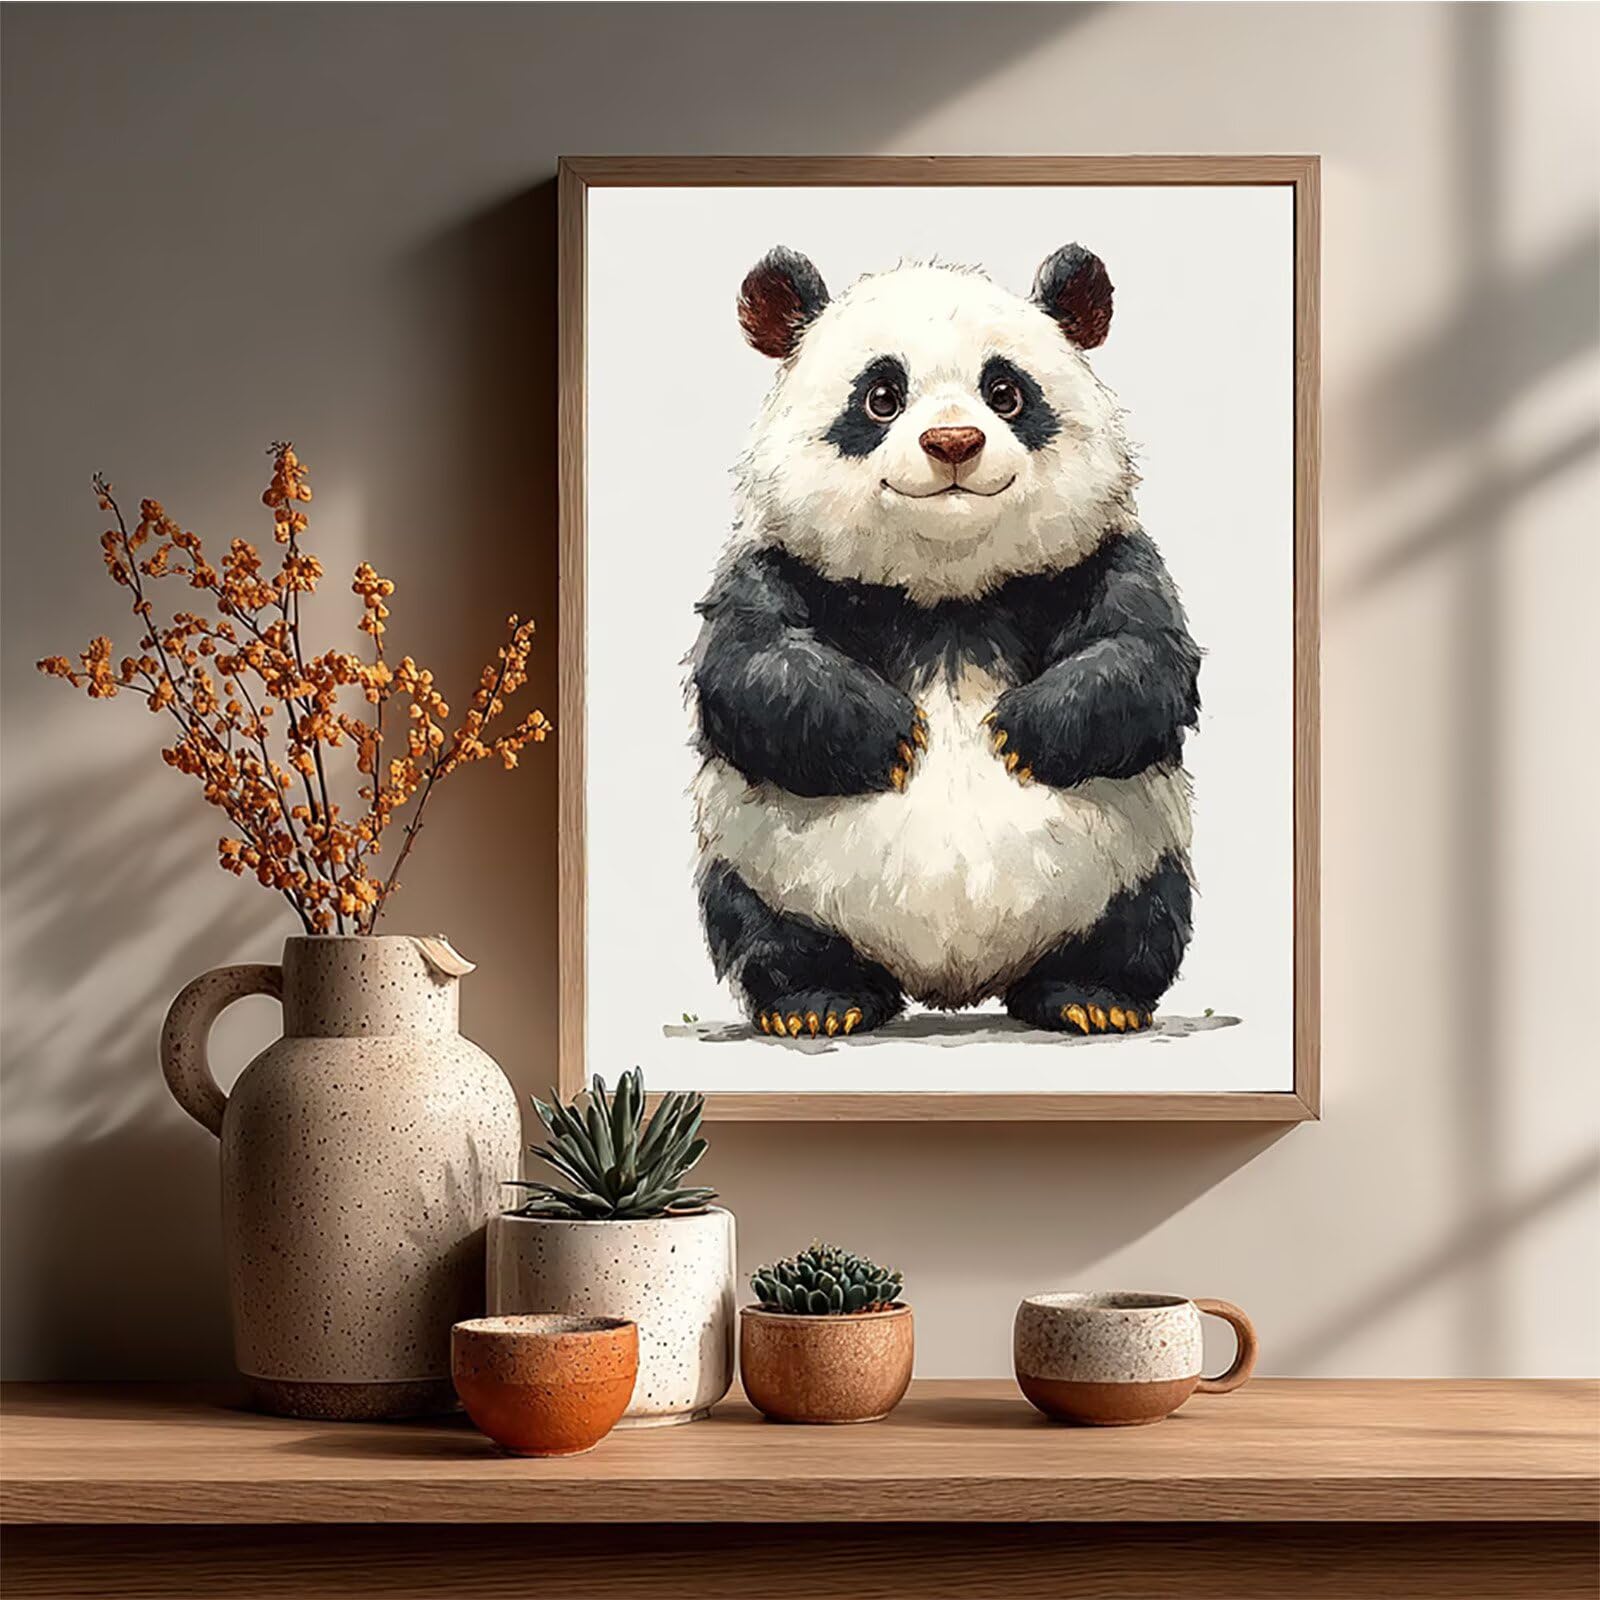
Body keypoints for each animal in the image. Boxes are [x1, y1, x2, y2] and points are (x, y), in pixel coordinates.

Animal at [689, 244, 1199, 1040]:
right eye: (881, 396)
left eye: (1006, 391)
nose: (954, 442)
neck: (947, 594)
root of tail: (953, 982)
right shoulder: (778, 561)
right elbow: (750, 664)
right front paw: (896, 737)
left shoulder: (1094, 559)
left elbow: (1144, 655)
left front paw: (1018, 733)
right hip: (762, 869)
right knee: (762, 929)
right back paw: (818, 1004)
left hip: (1135, 863)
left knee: (1140, 924)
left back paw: (1091, 998)